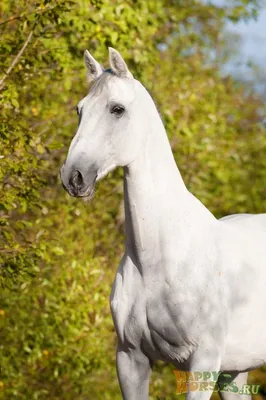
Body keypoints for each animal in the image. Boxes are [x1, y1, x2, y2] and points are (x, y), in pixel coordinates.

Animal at [60, 47, 266, 400]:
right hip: (235, 372)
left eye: (117, 109)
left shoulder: (203, 363)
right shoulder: (131, 358)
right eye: (79, 110)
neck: (159, 260)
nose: (73, 177)